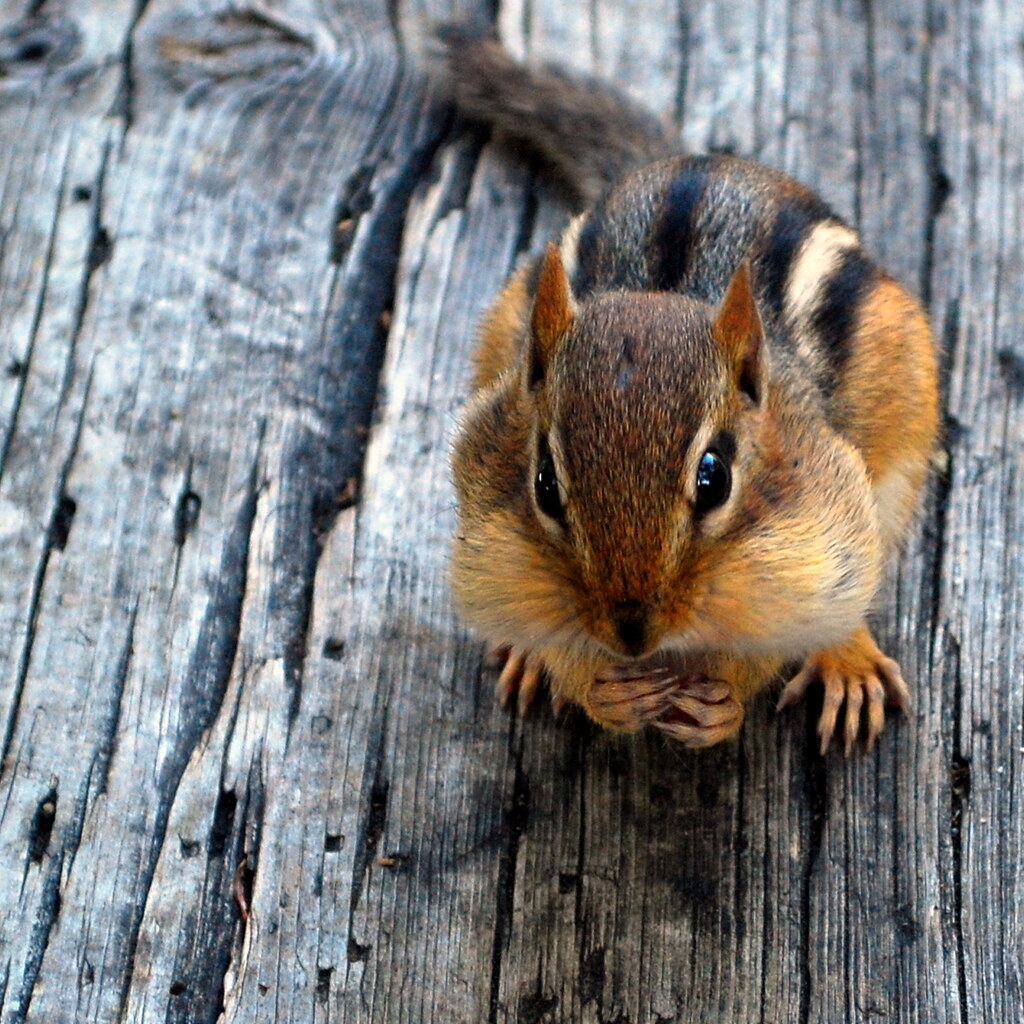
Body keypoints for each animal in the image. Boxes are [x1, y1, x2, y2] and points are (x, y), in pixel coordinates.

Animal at [436, 30, 940, 754]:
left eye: (714, 478)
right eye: (544, 485)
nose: (631, 634)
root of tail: (693, 162)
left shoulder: (822, 539)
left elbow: (799, 622)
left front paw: (720, 704)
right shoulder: (490, 550)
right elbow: (557, 643)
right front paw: (604, 691)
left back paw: (849, 662)